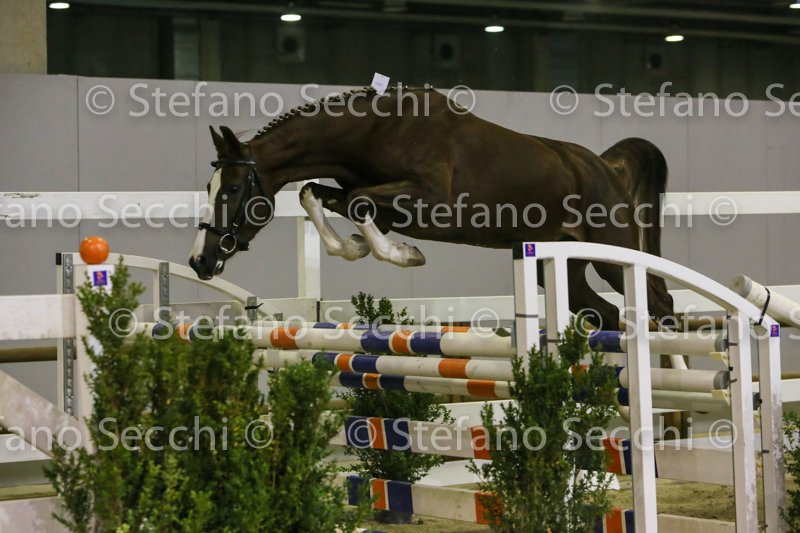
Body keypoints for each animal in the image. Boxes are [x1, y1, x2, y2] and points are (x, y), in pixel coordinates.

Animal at [189, 86, 673, 330]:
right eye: (210, 187)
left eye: (233, 189)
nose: (200, 261)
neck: (376, 131)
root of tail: (606, 167)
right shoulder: (378, 202)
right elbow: (316, 193)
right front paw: (357, 247)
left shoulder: (431, 202)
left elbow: (359, 204)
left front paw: (406, 255)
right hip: (559, 263)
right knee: (606, 314)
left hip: (611, 253)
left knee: (659, 301)